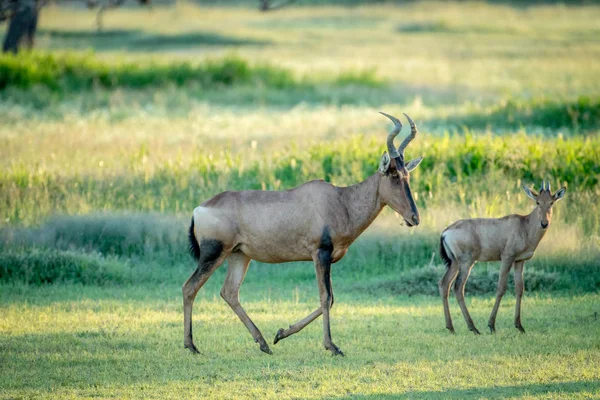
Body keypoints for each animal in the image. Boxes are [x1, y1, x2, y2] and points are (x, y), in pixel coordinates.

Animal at [185, 111, 424, 354]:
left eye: (407, 175)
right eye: (393, 175)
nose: (414, 218)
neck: (341, 201)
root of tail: (199, 208)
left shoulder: (327, 258)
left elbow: (330, 299)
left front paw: (281, 333)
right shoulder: (320, 254)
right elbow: (325, 297)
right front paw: (332, 346)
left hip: (239, 255)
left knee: (229, 292)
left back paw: (263, 343)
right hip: (213, 253)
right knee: (190, 288)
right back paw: (191, 346)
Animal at [438, 181, 564, 334]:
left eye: (551, 202)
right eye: (537, 202)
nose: (544, 223)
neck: (524, 225)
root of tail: (445, 232)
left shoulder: (519, 261)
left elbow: (519, 289)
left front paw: (519, 326)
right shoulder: (507, 258)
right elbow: (501, 288)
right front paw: (491, 325)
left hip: (455, 263)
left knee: (444, 284)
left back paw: (451, 327)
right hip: (466, 263)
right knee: (458, 287)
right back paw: (474, 328)